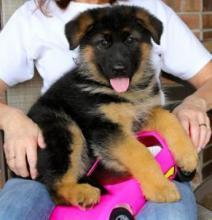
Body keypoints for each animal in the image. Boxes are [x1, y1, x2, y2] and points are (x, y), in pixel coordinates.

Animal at [27, 5, 198, 208]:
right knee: (56, 188)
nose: (119, 68)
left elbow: (170, 119)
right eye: (103, 43)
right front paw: (160, 187)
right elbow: (139, 152)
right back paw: (82, 192)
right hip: (64, 128)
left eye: (130, 40)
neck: (124, 93)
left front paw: (188, 154)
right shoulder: (106, 128)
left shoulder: (143, 114)